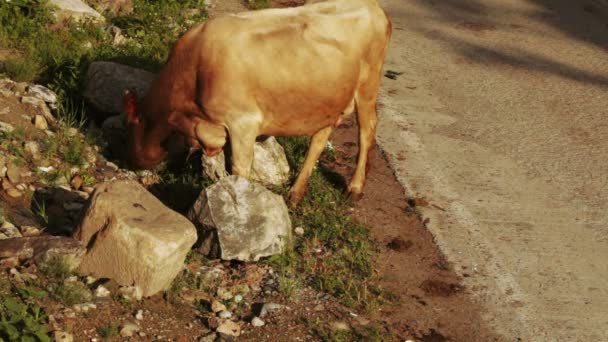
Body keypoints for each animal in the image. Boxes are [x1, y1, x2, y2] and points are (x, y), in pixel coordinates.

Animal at [122, 0, 394, 204]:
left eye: (129, 127)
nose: (129, 161)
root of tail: (373, 6)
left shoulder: (243, 122)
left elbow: (239, 169)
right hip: (330, 98)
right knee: (319, 139)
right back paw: (296, 192)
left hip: (367, 88)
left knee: (366, 131)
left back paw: (355, 187)